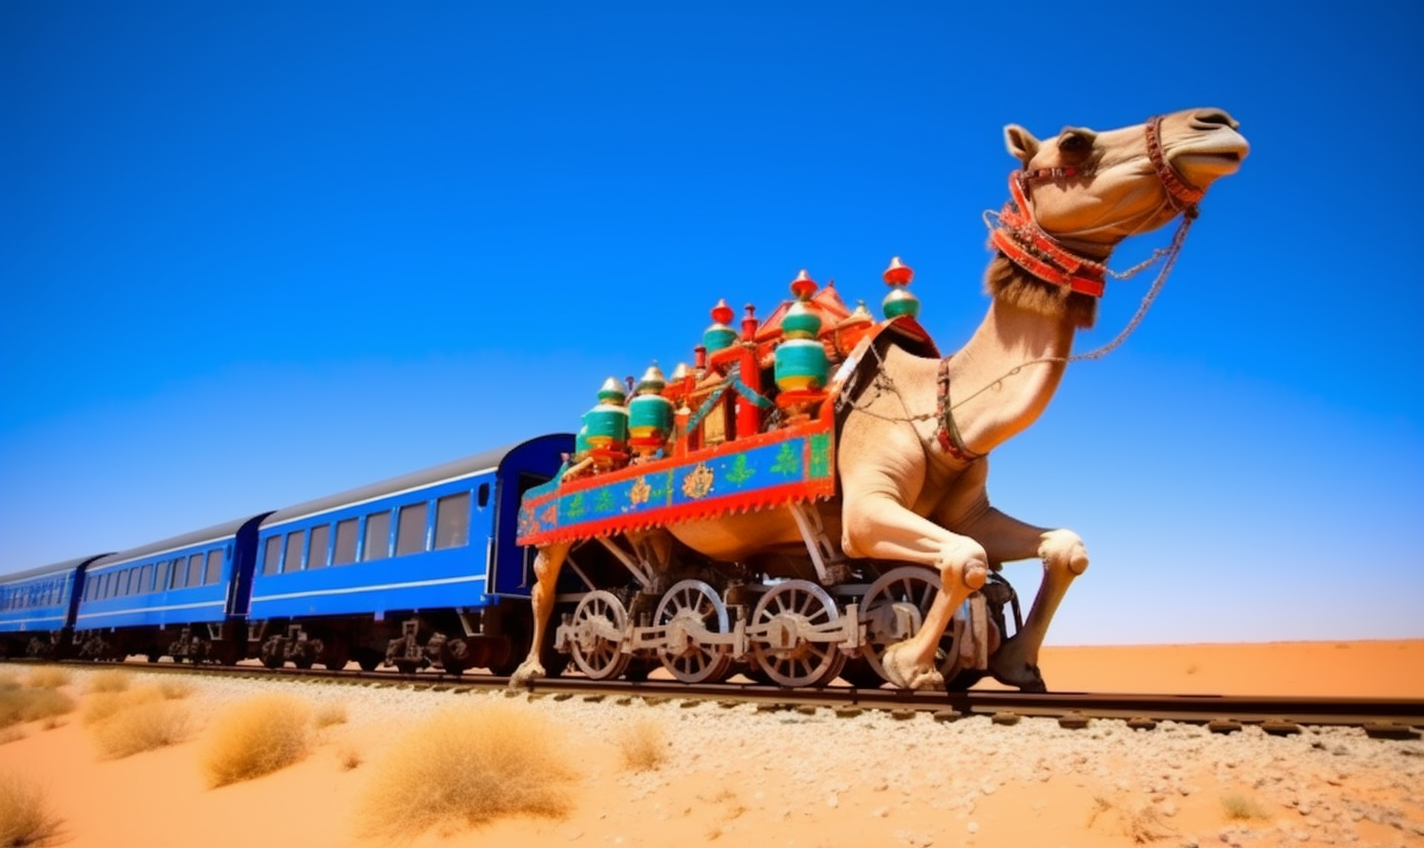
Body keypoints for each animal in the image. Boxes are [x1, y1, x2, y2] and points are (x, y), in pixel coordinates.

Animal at [512, 107, 1247, 688]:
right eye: (1073, 141)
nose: (1215, 124)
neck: (937, 402)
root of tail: (572, 463)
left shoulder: (965, 512)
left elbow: (1058, 549)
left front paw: (1013, 665)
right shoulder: (863, 513)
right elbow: (961, 564)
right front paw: (907, 665)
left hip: (669, 547)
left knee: (649, 595)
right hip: (561, 534)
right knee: (559, 596)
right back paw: (532, 670)